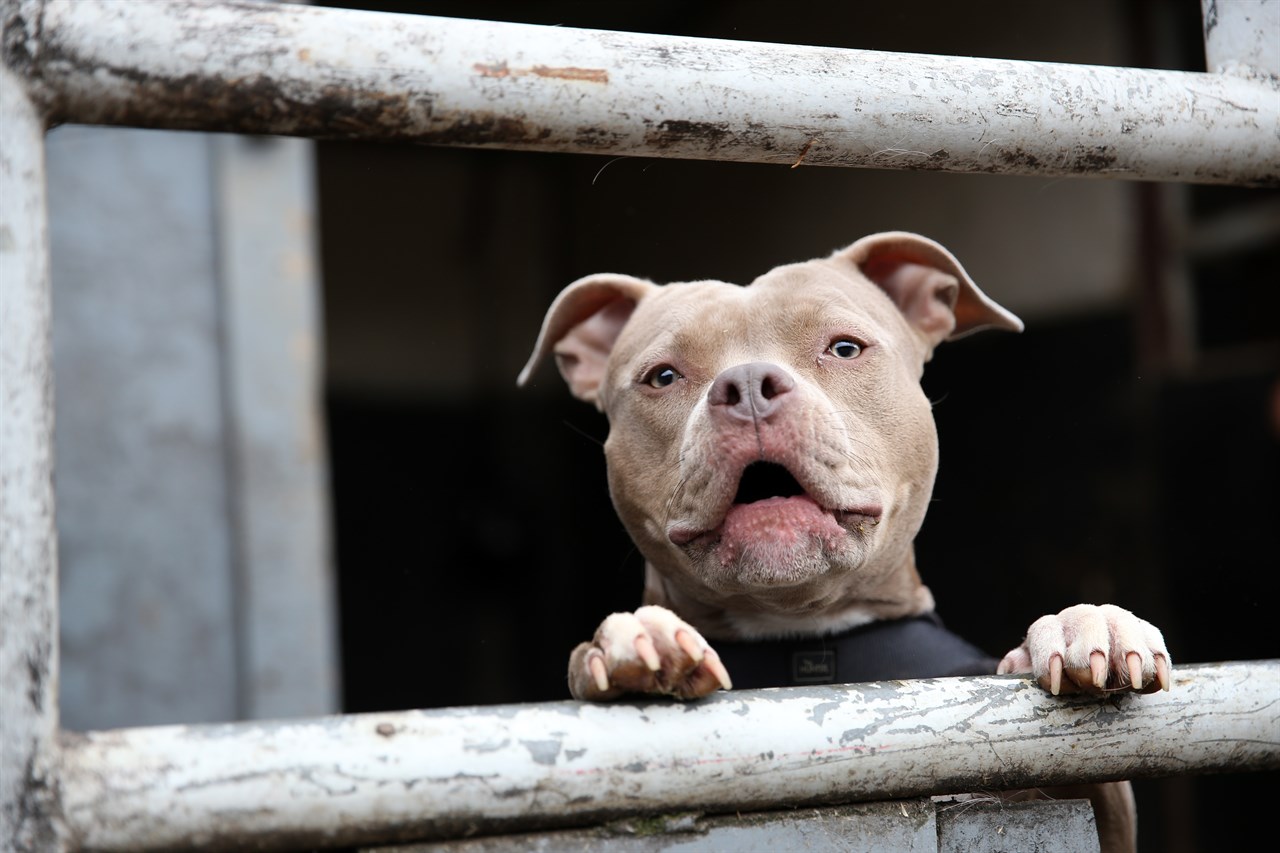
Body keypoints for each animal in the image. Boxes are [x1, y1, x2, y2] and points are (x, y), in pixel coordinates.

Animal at [517, 229, 1172, 845]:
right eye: (663, 377)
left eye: (844, 348)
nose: (747, 385)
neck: (804, 633)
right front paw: (633, 643)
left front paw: (1085, 626)